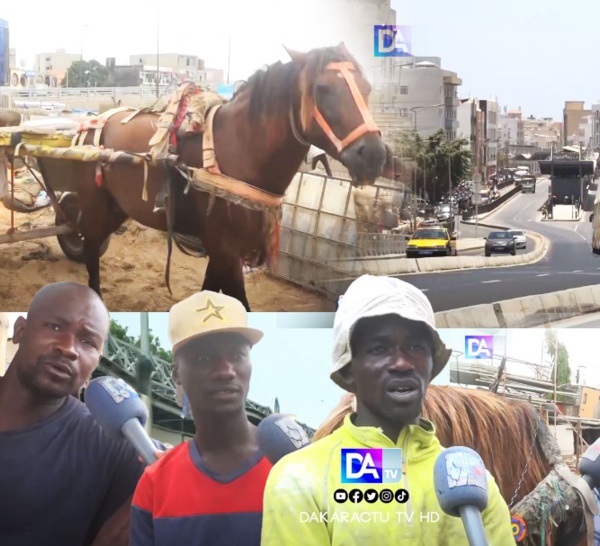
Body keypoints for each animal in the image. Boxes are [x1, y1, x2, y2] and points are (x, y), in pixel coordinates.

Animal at [37, 44, 394, 308]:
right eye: (322, 89)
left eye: (367, 88)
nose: (374, 155)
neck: (239, 151)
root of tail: (92, 123)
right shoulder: (227, 252)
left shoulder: (222, 253)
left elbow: (210, 295)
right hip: (94, 205)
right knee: (90, 252)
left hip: (116, 208)